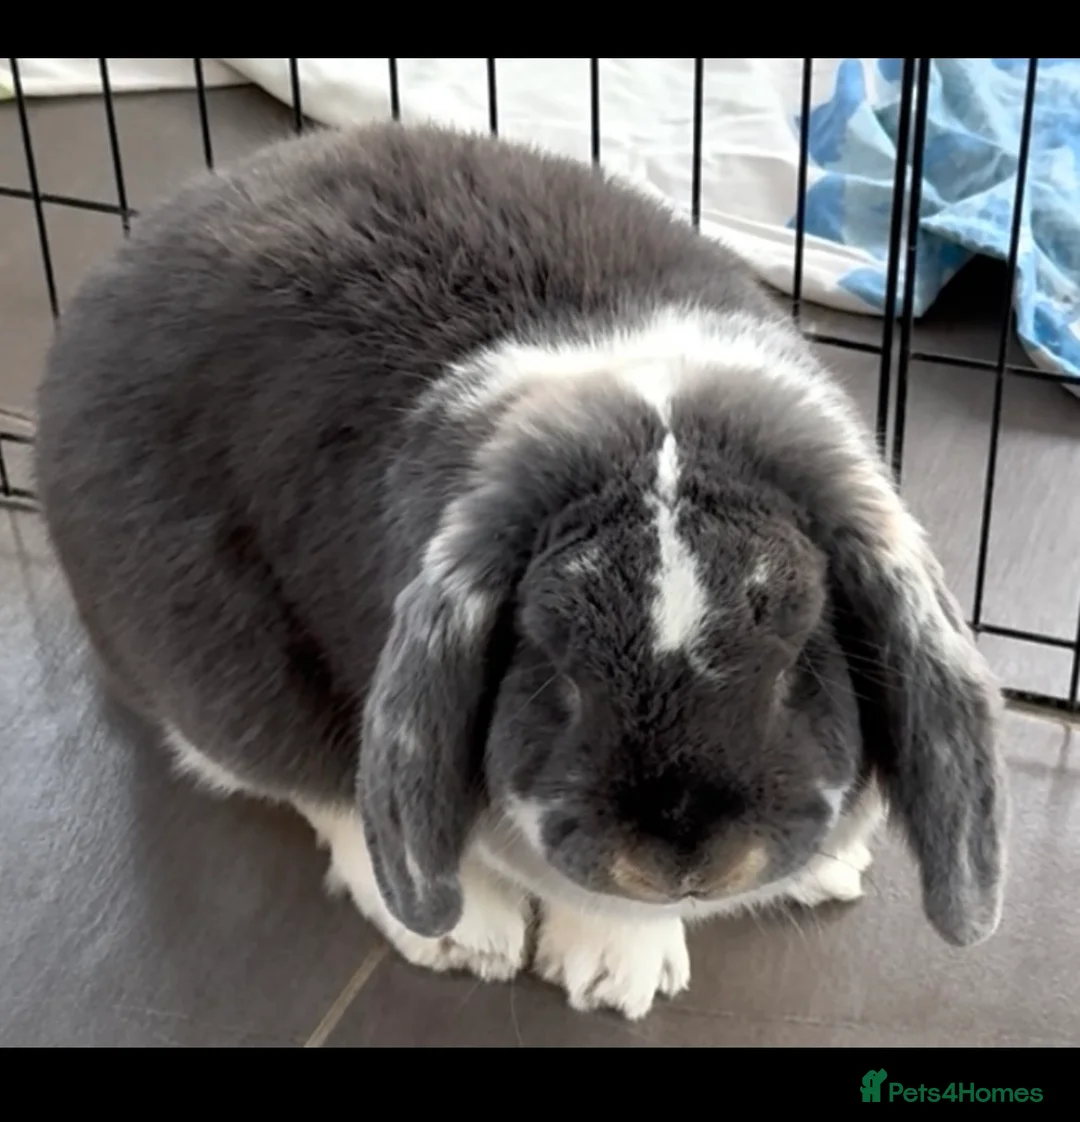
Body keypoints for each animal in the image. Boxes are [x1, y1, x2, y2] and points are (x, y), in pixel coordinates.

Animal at [34, 120, 1006, 1022]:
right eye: (558, 674)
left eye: (797, 662)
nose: (685, 861)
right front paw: (620, 974)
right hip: (217, 659)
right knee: (313, 784)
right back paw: (466, 934)